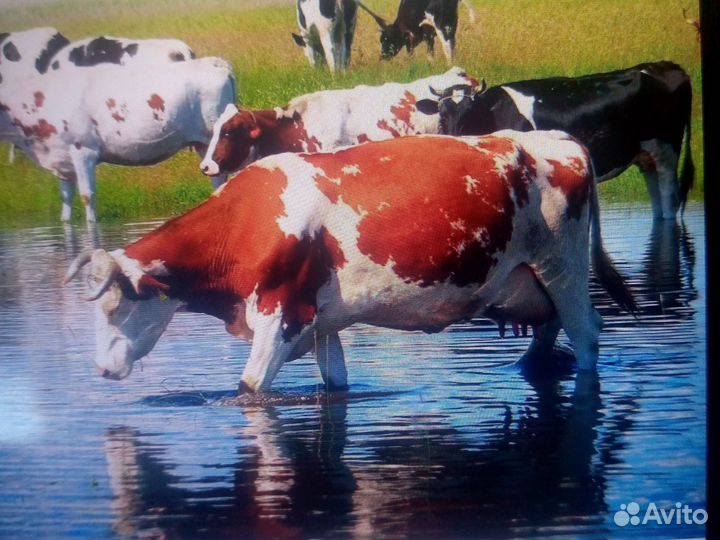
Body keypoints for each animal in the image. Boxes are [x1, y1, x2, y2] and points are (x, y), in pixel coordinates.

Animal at [0, 56, 236, 223]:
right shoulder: (62, 160)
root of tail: (215, 62)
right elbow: (66, 201)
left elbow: (87, 196)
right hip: (204, 145)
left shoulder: (83, 151)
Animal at [65, 130, 636, 394]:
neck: (248, 220)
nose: (100, 368)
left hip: (563, 266)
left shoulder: (279, 314)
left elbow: (250, 389)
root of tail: (555, 137)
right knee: (549, 331)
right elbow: (335, 383)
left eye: (115, 308)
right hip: (532, 280)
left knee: (586, 331)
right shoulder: (319, 322)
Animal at [415, 62, 695, 220]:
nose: (453, 134)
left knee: (669, 204)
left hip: (667, 151)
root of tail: (667, 65)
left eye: (470, 112)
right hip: (647, 158)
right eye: (442, 112)